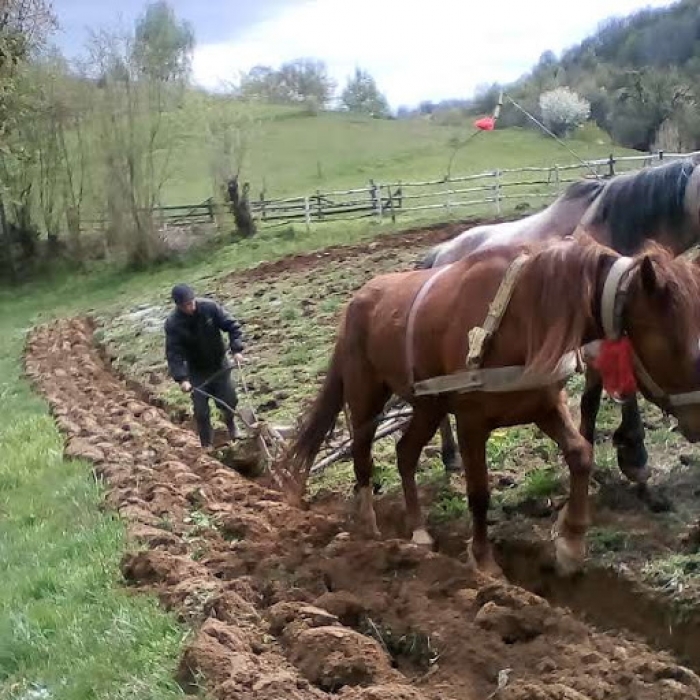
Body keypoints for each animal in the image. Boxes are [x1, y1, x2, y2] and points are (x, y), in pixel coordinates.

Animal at [282, 238, 700, 576]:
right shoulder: (471, 422)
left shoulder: (544, 404)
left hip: (428, 405)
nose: (697, 423)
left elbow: (581, 454)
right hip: (366, 395)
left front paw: (570, 543)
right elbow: (479, 493)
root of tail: (359, 298)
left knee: (405, 453)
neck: (523, 316)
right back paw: (369, 527)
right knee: (362, 455)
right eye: (686, 350)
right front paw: (483, 561)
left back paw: (418, 531)